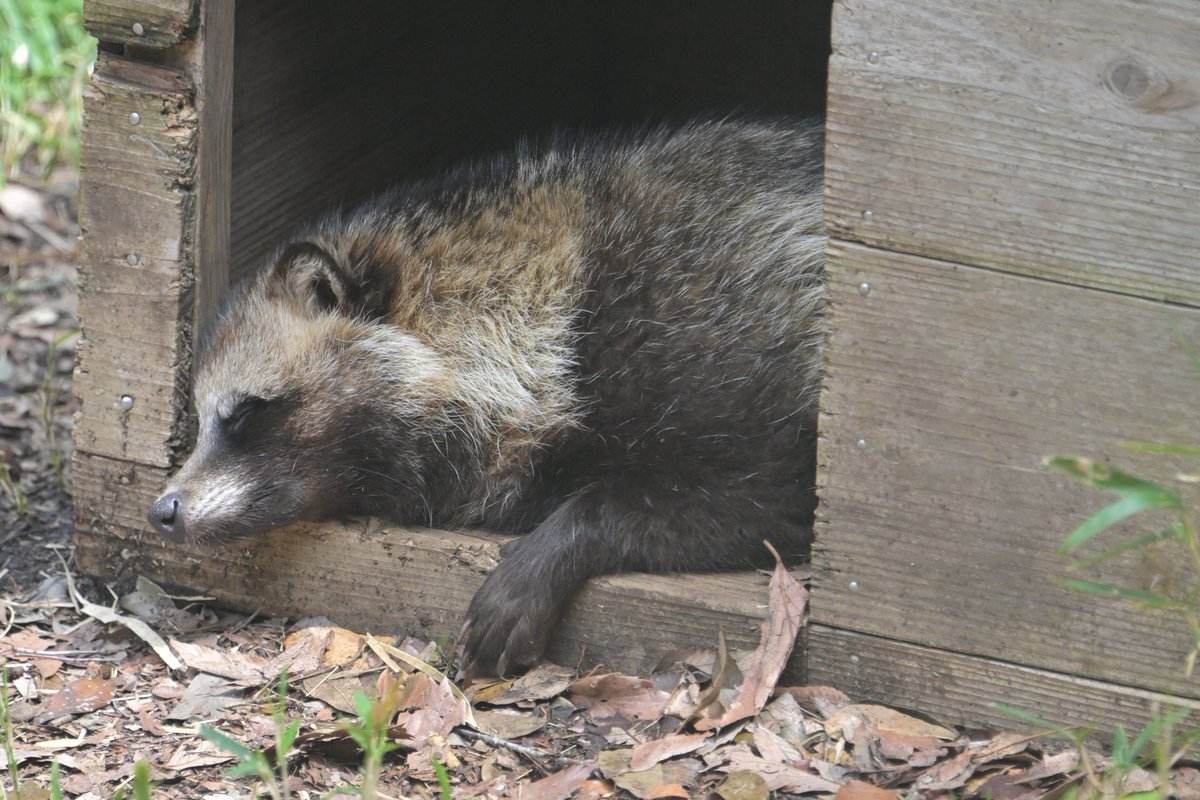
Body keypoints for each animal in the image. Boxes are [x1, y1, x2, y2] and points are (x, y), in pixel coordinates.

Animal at [147, 120, 825, 676]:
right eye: (202, 418)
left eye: (243, 412)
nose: (163, 511)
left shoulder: (716, 348)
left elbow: (756, 491)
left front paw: (552, 549)